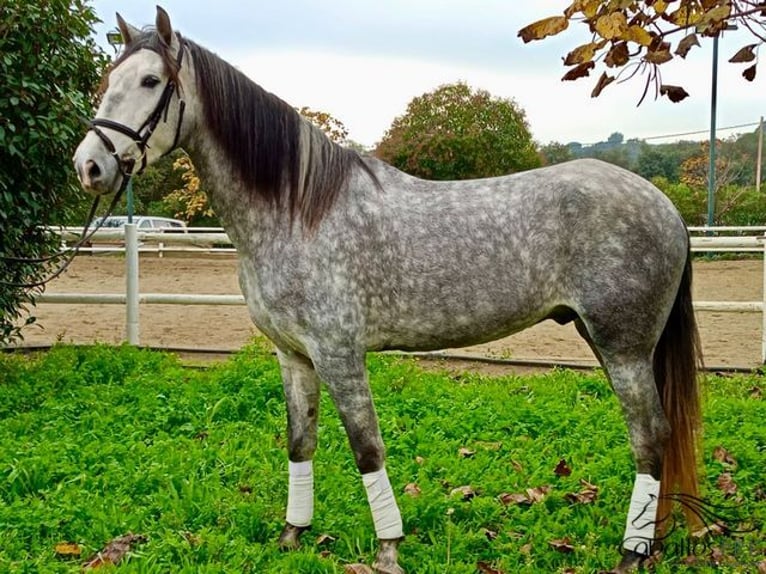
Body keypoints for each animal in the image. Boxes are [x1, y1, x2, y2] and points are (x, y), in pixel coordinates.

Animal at [75, 6, 704, 572]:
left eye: (151, 82)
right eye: (108, 80)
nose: (89, 166)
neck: (298, 210)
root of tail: (666, 208)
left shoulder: (339, 353)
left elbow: (366, 447)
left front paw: (388, 549)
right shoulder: (293, 356)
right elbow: (300, 442)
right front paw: (292, 535)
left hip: (623, 348)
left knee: (650, 437)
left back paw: (632, 552)